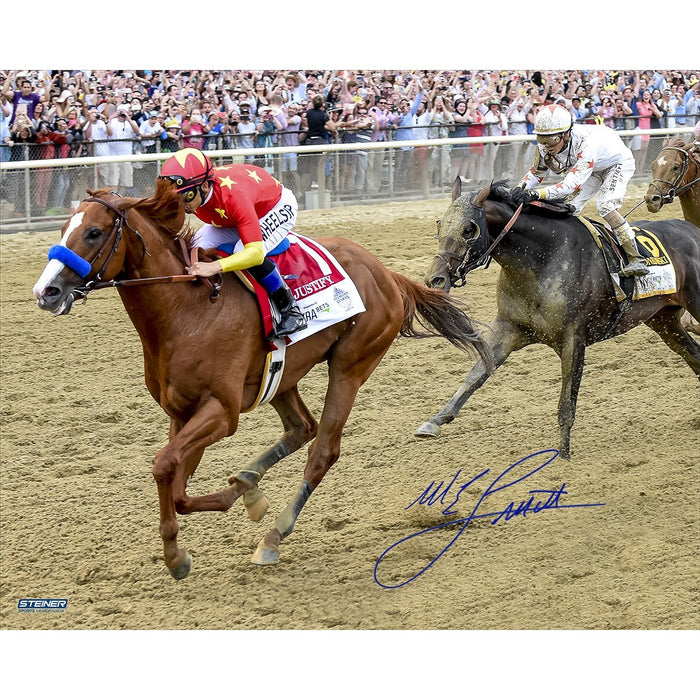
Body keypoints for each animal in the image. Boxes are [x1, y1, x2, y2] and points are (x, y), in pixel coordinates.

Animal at [34, 182, 492, 580]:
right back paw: (249, 484)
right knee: (301, 428)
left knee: (323, 450)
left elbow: (165, 465)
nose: (46, 291)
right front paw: (201, 533)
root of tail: (387, 273)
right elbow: (176, 485)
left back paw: (273, 536)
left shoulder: (222, 412)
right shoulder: (181, 413)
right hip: (282, 376)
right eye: (63, 228)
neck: (187, 309)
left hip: (351, 365)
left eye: (94, 232)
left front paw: (183, 551)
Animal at [416, 178, 700, 456]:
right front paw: (434, 422)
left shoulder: (573, 338)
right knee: (694, 356)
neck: (542, 258)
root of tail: (693, 230)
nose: (435, 279)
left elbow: (567, 400)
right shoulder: (508, 328)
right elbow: (475, 375)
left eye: (468, 229)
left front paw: (563, 454)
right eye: (440, 223)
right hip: (663, 320)